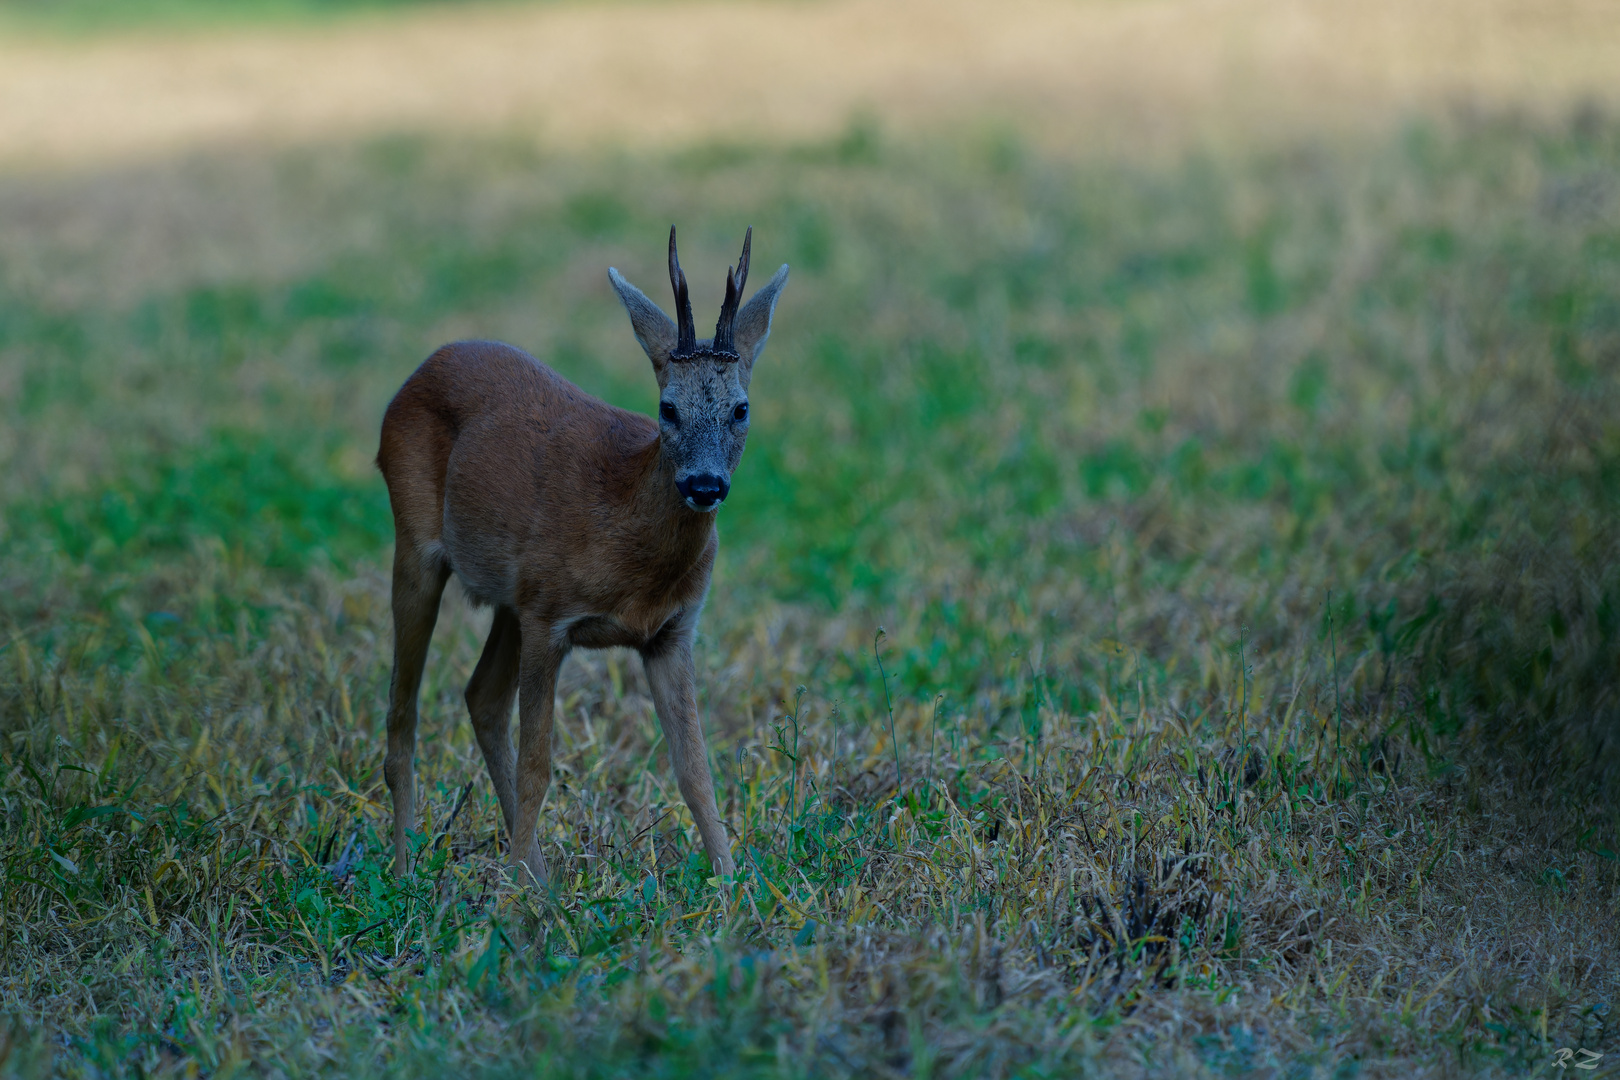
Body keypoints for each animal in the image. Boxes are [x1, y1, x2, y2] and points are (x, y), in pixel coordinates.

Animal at [375, 226, 787, 880]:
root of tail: (420, 370)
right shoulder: (551, 619)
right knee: (402, 715)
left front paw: (731, 882)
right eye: (668, 407)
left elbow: (695, 770)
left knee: (481, 698)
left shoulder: (671, 632)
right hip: (418, 548)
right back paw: (405, 870)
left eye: (740, 408)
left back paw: (536, 875)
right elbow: (539, 768)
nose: (704, 485)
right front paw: (511, 897)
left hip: (511, 600)